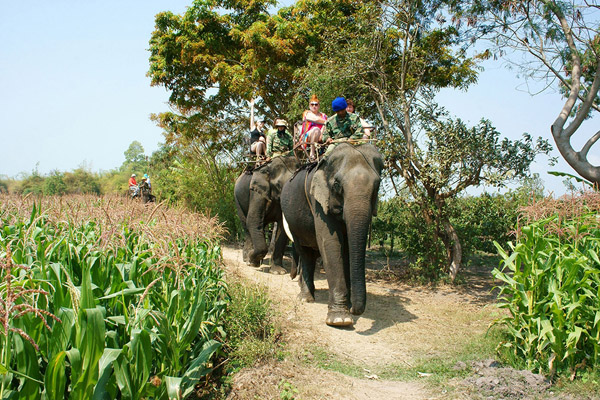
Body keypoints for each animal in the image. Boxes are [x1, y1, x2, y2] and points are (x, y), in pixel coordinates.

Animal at [282, 143, 384, 324]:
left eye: (377, 185)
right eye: (337, 184)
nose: (354, 309)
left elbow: (348, 248)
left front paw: (347, 307)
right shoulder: (318, 201)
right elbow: (331, 243)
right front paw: (340, 320)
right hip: (292, 221)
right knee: (305, 252)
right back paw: (305, 298)